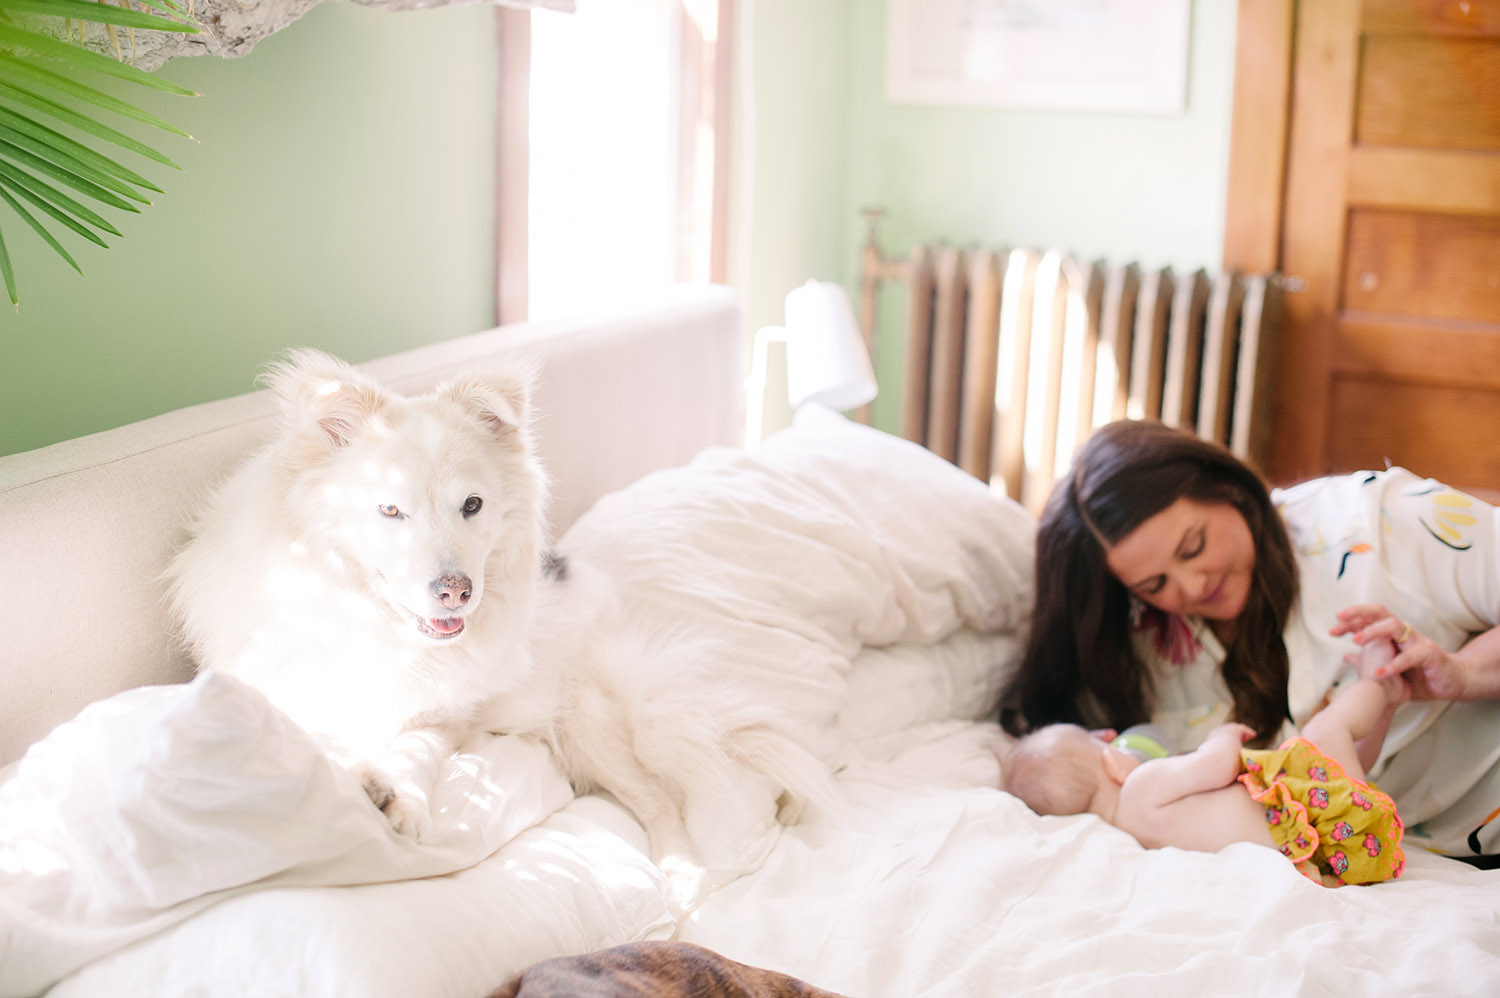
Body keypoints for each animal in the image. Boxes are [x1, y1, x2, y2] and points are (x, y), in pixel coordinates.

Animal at [172, 349, 846, 864]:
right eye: (389, 509)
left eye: (471, 505)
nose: (456, 591)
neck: (376, 625)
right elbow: (319, 735)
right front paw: (361, 777)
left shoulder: (446, 718)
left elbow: (414, 752)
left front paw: (402, 801)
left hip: (586, 722)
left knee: (660, 803)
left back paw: (681, 881)